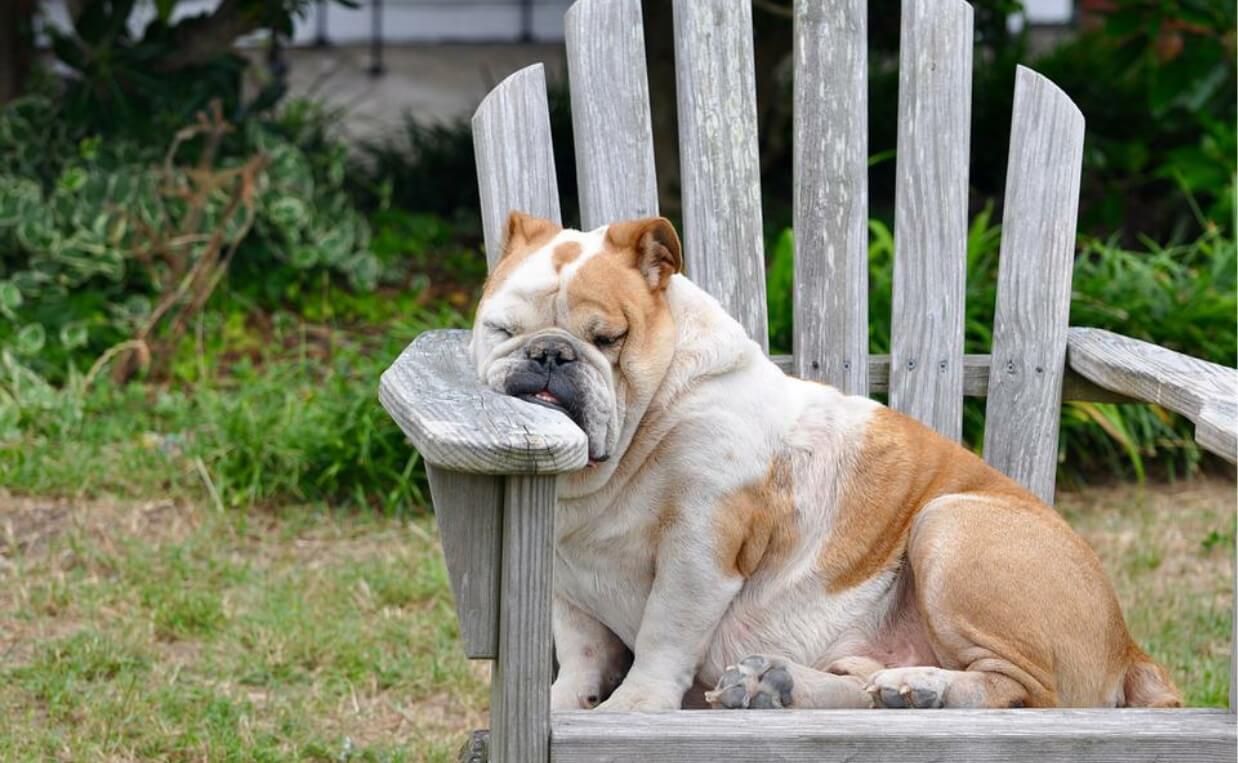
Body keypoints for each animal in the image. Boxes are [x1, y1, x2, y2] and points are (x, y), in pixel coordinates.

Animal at [465, 211, 1178, 713]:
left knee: (1026, 690)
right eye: (501, 330)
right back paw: (786, 686)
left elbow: (665, 632)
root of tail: (1128, 643)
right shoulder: (566, 579)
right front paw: (568, 703)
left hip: (948, 526)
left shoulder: (699, 547)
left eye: (608, 339)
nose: (549, 353)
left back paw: (923, 687)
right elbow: (582, 646)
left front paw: (635, 707)